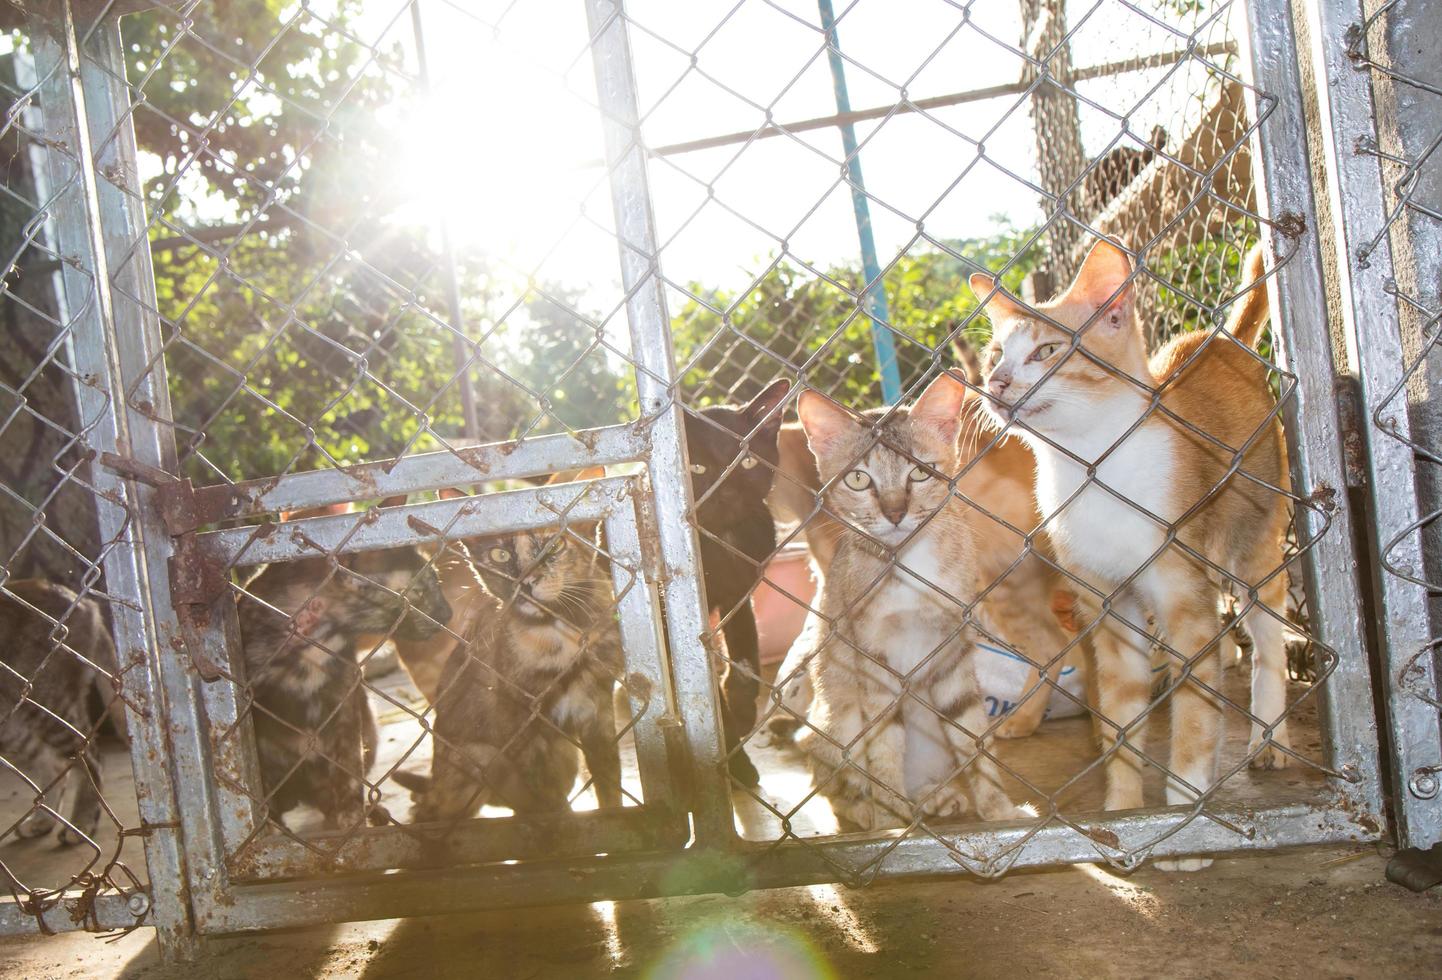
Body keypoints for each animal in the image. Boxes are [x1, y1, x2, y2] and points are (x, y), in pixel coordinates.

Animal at [0, 579, 121, 847]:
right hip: (15, 723)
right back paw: (42, 821)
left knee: (91, 757)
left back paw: (81, 824)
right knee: (54, 765)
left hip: (45, 702)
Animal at [239, 547, 449, 830]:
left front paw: (353, 823)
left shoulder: (344, 706)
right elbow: (264, 791)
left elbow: (348, 775)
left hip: (368, 723)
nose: (448, 613)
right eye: (419, 590)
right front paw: (270, 828)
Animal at [395, 469, 625, 824]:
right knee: (431, 809)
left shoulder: (598, 707)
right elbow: (547, 795)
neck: (560, 634)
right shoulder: (518, 724)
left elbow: (609, 778)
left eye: (555, 545)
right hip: (475, 759)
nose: (526, 581)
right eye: (499, 554)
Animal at [683, 377, 795, 784]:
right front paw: (736, 766)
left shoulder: (739, 593)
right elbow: (707, 699)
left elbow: (747, 655)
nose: (728, 492)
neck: (724, 538)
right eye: (697, 468)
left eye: (747, 460)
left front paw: (743, 708)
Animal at [974, 240, 1292, 870]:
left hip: (1255, 546)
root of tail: (1217, 341)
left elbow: (1195, 724)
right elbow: (1120, 717)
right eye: (996, 353)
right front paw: (1124, 814)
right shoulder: (1108, 609)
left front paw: (1185, 828)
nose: (995, 383)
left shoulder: (1186, 606)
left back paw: (1271, 737)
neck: (1092, 469)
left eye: (1048, 352)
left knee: (1270, 641)